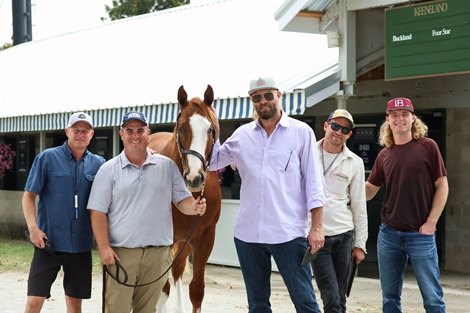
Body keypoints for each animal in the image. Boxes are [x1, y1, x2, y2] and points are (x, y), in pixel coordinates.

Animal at [149, 84, 222, 310]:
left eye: (210, 129)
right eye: (181, 128)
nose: (194, 178)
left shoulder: (205, 237)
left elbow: (197, 291)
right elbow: (161, 289)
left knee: (177, 272)